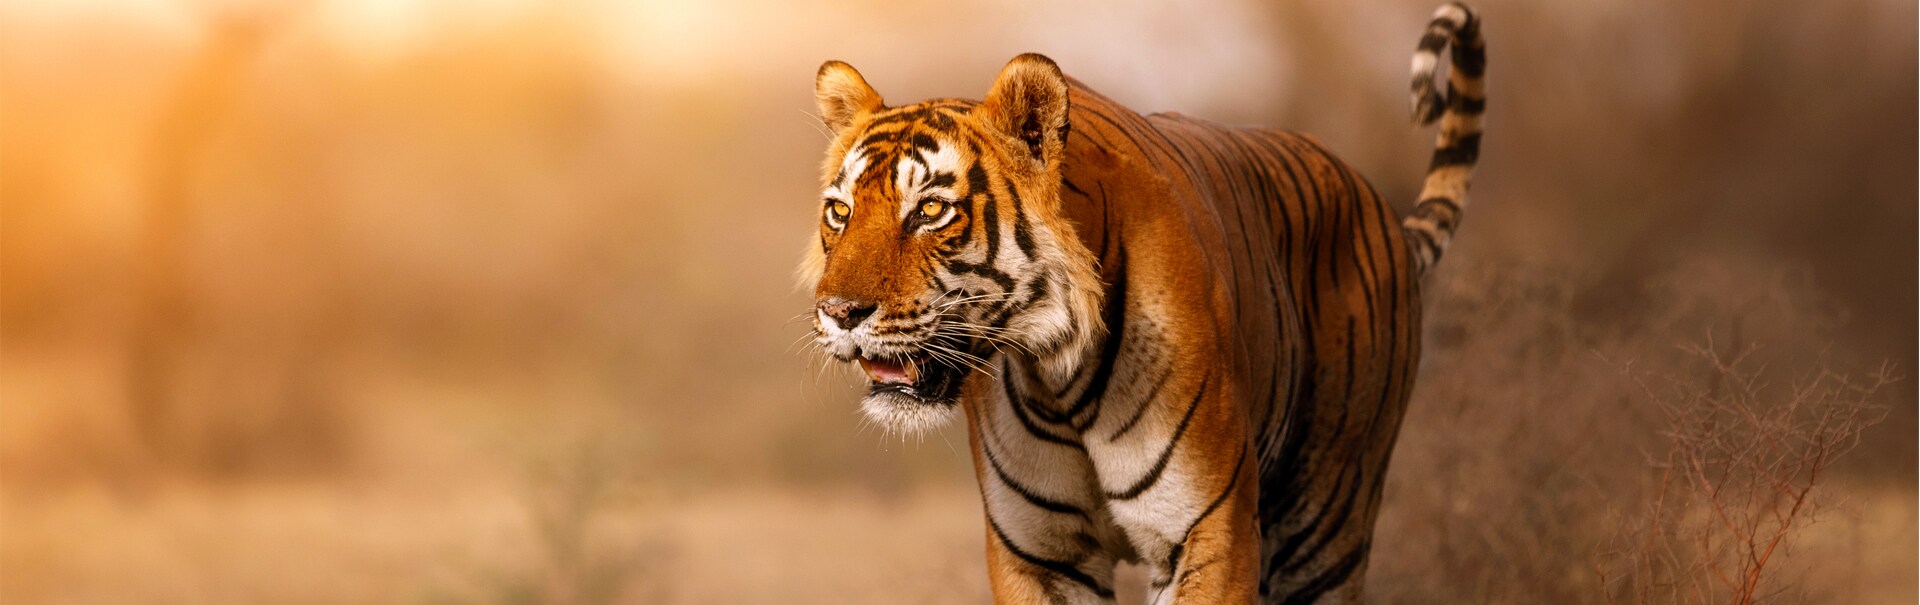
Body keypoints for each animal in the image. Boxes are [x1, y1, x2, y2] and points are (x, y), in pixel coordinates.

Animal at [798, 3, 1485, 603]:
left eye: (931, 210)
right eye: (841, 211)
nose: (840, 312)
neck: (1055, 374)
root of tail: (1381, 209)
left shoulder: (1210, 533)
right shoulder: (1039, 556)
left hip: (1327, 523)